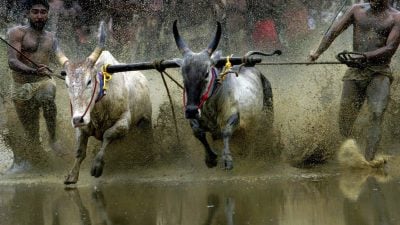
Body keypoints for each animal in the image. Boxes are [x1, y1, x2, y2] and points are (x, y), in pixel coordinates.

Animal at [62, 22, 152, 185]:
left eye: (89, 81)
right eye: (66, 84)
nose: (78, 119)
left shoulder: (124, 123)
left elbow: (107, 135)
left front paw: (97, 166)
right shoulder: (82, 127)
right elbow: (79, 152)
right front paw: (72, 176)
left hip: (146, 121)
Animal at [173, 21, 274, 170]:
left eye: (206, 73)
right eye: (183, 74)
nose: (191, 110)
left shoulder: (234, 117)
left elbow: (225, 132)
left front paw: (227, 158)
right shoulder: (195, 120)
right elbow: (198, 132)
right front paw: (210, 158)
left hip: (268, 109)